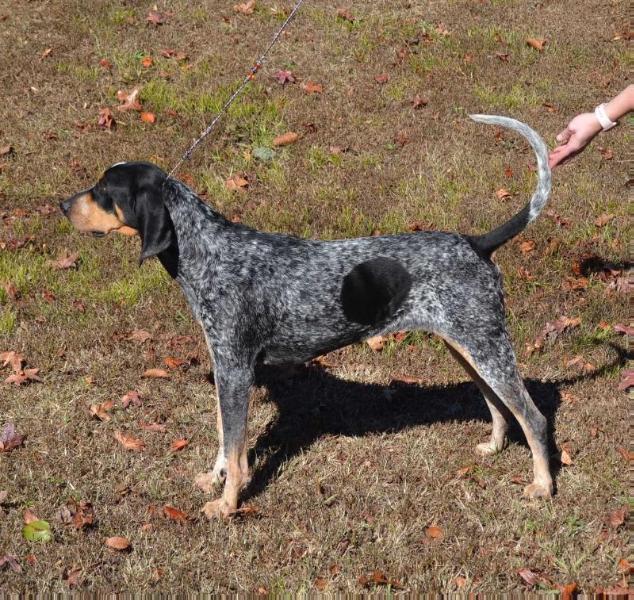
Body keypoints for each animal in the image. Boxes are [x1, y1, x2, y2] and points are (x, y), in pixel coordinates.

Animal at [61, 116, 552, 516]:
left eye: (103, 192)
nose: (63, 205)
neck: (207, 251)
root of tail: (476, 242)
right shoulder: (225, 369)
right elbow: (223, 436)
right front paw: (213, 479)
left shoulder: (236, 370)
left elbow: (237, 451)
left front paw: (227, 504)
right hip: (468, 348)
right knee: (498, 405)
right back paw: (493, 447)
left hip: (487, 347)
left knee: (533, 417)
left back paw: (543, 486)